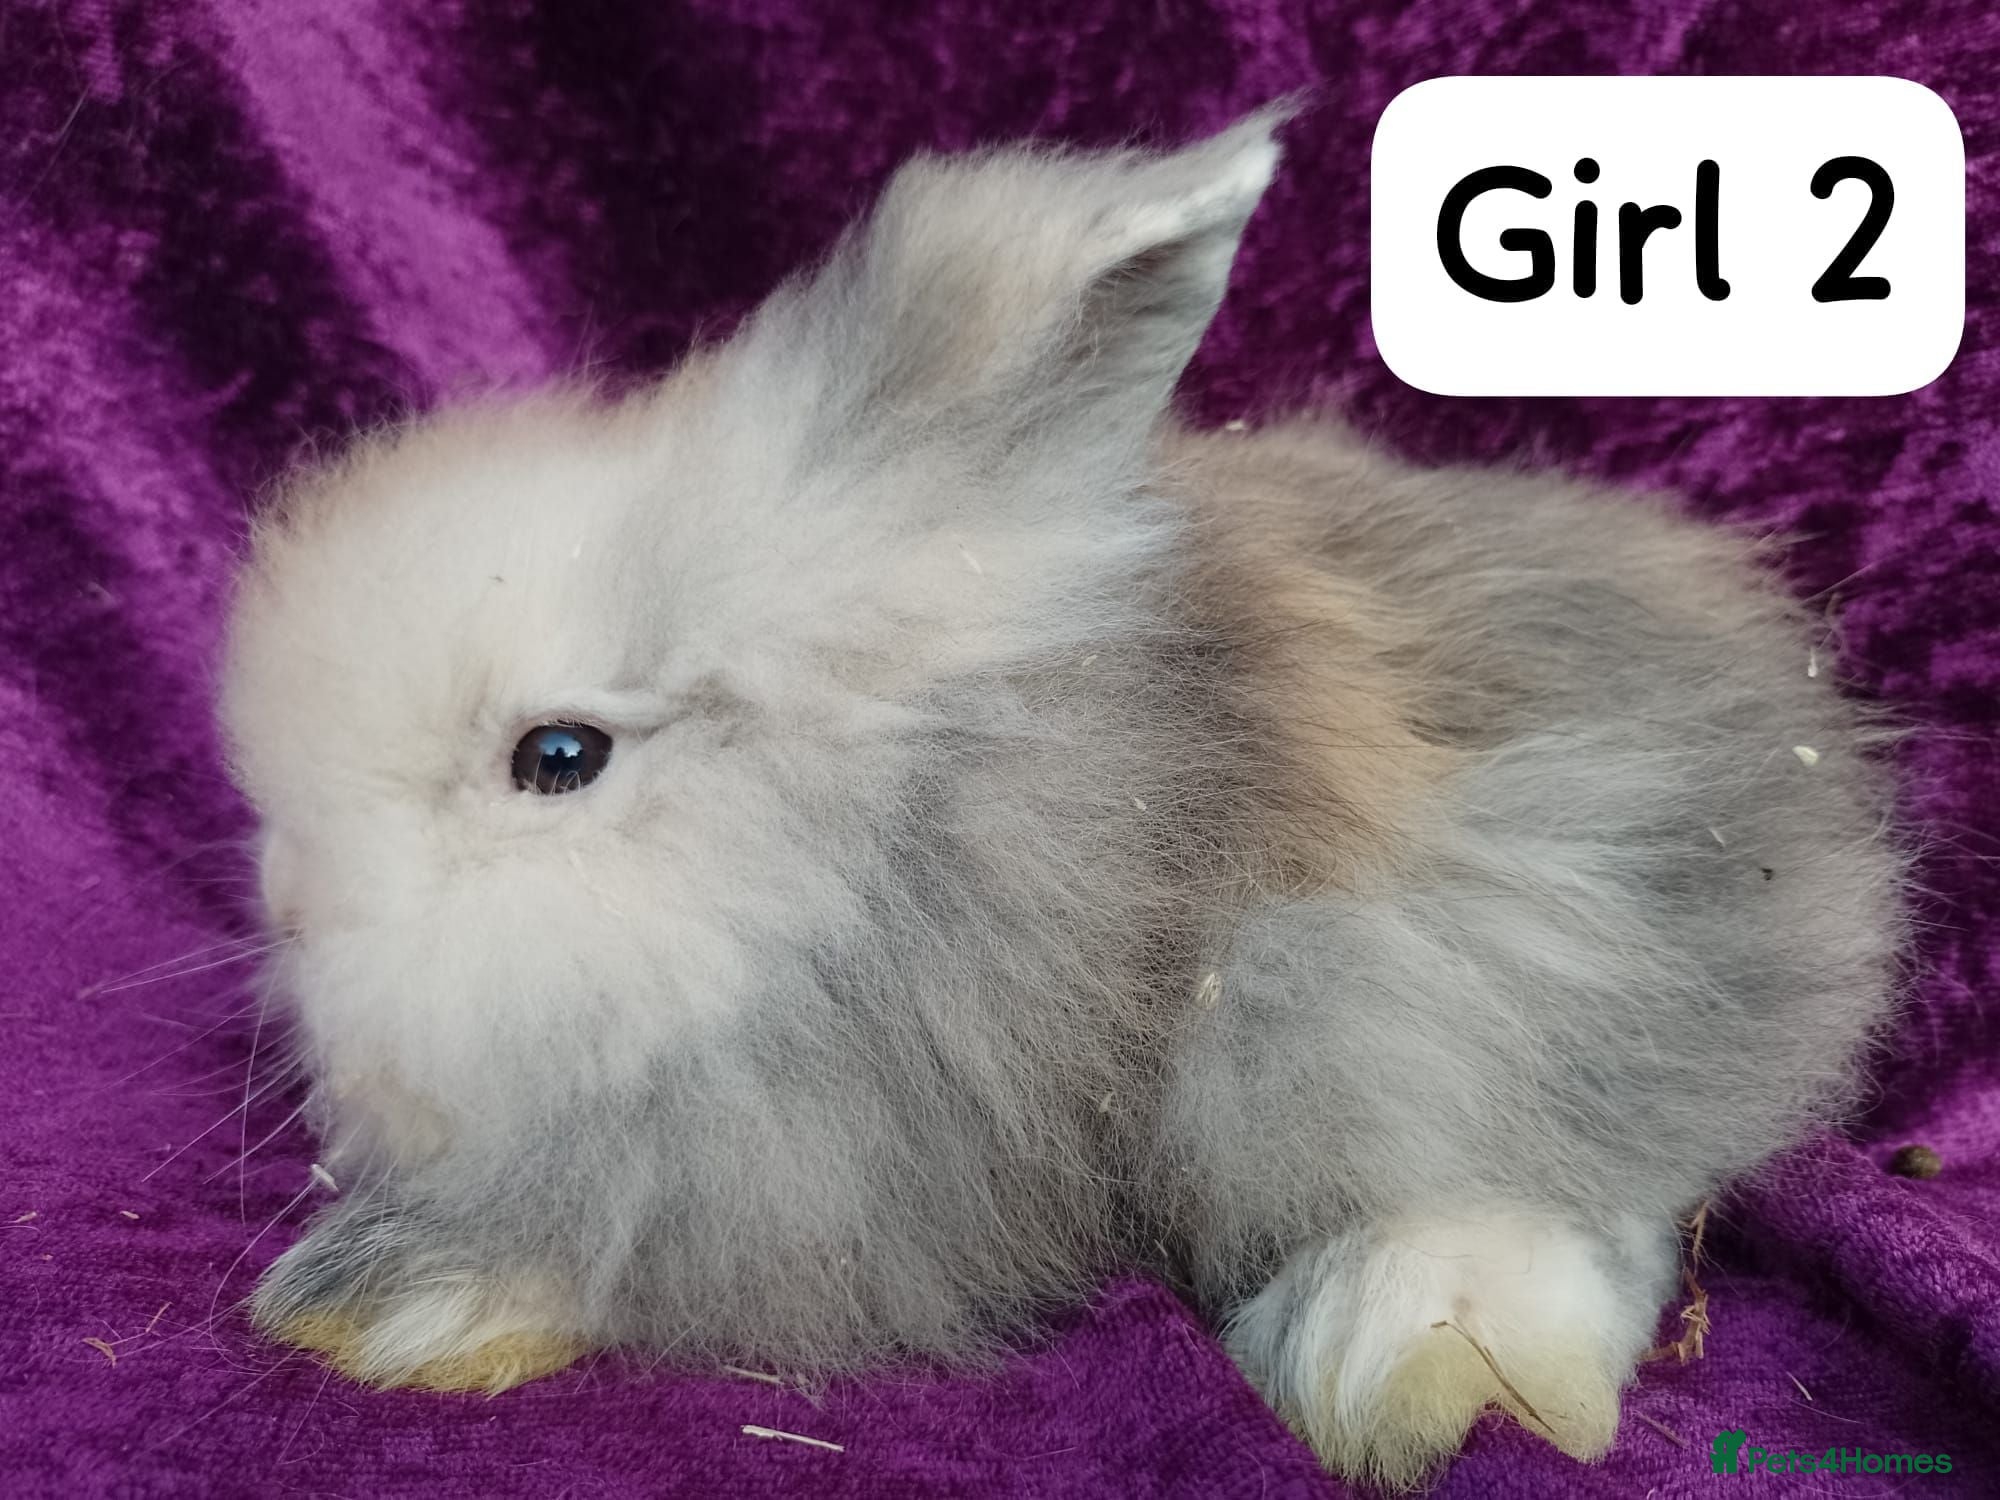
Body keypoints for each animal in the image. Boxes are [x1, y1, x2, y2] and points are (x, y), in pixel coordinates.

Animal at [218, 106, 1905, 1489]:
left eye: (558, 757)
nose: (293, 903)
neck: (885, 841)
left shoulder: (862, 1156)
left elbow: (650, 1249)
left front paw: (386, 1299)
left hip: (1471, 961)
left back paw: (1416, 1361)